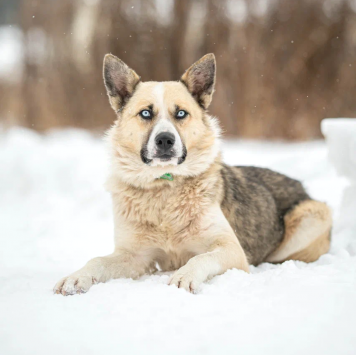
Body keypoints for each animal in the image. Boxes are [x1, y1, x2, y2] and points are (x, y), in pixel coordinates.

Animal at [54, 53, 332, 294]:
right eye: (146, 113)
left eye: (181, 113)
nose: (165, 140)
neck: (164, 187)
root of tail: (301, 186)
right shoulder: (134, 256)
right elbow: (97, 260)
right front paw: (76, 277)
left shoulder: (231, 249)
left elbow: (200, 259)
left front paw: (184, 276)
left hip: (312, 216)